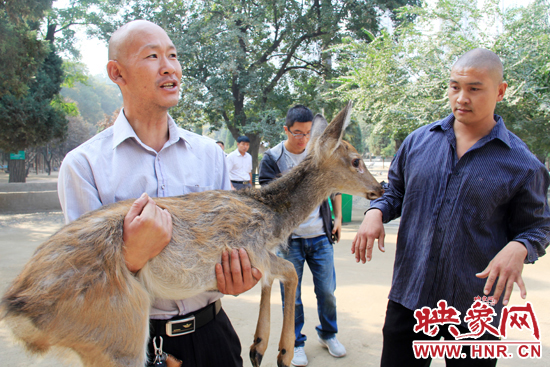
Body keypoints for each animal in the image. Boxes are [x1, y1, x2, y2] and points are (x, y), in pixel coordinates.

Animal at [0, 101, 384, 367]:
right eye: (355, 160)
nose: (379, 187)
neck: (272, 215)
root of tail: (17, 308)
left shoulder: (254, 257)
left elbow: (268, 280)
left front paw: (257, 347)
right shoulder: (252, 248)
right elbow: (289, 272)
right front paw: (283, 352)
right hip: (117, 327)